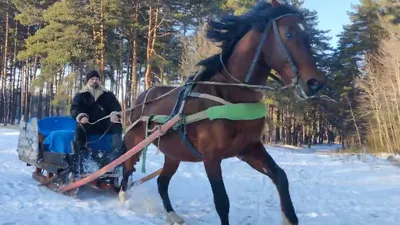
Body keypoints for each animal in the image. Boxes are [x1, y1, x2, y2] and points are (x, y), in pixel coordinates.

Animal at [118, 0, 324, 224]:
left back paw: (172, 214)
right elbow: (222, 202)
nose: (315, 83)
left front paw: (289, 216)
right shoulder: (211, 157)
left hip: (173, 153)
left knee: (162, 182)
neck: (231, 96)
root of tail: (140, 97)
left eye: (308, 36)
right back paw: (123, 198)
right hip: (135, 143)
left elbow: (280, 176)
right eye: (289, 33)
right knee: (126, 168)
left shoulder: (249, 148)